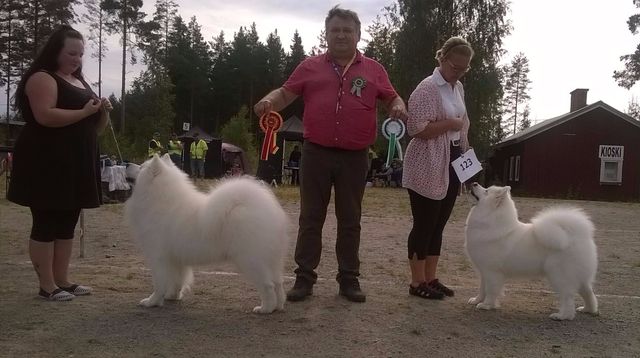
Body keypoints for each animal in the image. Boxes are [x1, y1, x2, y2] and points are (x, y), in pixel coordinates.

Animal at [125, 154, 290, 314]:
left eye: (141, 167)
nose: (126, 163)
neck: (161, 200)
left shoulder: (158, 257)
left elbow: (159, 283)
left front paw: (152, 302)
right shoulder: (176, 258)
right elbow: (177, 280)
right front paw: (172, 296)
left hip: (250, 260)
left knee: (268, 285)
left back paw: (265, 309)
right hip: (271, 259)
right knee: (278, 283)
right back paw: (278, 306)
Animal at [462, 183, 596, 320]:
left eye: (486, 191)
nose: (474, 183)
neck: (492, 223)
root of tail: (576, 235)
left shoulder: (492, 272)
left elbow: (490, 290)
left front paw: (486, 305)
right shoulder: (483, 271)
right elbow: (482, 288)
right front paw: (477, 300)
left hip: (559, 275)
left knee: (568, 297)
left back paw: (562, 315)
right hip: (579, 276)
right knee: (588, 293)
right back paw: (588, 309)